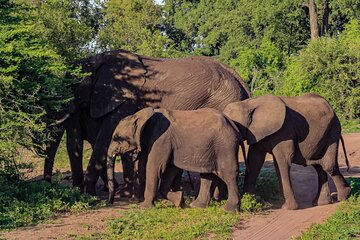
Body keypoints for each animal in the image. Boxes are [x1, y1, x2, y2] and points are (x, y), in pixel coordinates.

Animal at [43, 49, 250, 195]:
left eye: (72, 88)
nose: (48, 185)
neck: (97, 59)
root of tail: (238, 77)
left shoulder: (126, 99)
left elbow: (104, 139)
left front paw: (87, 193)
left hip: (222, 101)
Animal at [105, 108, 243, 211]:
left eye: (117, 138)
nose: (110, 202)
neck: (142, 116)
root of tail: (234, 126)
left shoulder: (161, 139)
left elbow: (155, 167)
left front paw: (144, 207)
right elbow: (171, 170)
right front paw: (180, 201)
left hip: (225, 146)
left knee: (228, 174)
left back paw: (229, 209)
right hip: (210, 149)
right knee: (207, 175)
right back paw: (196, 206)